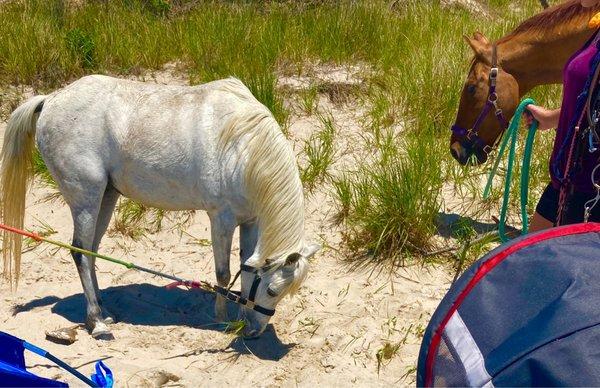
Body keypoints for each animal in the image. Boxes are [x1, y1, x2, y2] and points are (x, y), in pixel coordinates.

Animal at [2, 75, 322, 336]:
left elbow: (246, 267)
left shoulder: (250, 220)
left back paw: (103, 311)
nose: (255, 330)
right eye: (272, 289)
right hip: (86, 198)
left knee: (90, 250)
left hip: (106, 197)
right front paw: (221, 319)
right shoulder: (222, 218)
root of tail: (52, 99)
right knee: (79, 251)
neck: (242, 148)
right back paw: (96, 322)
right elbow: (223, 272)